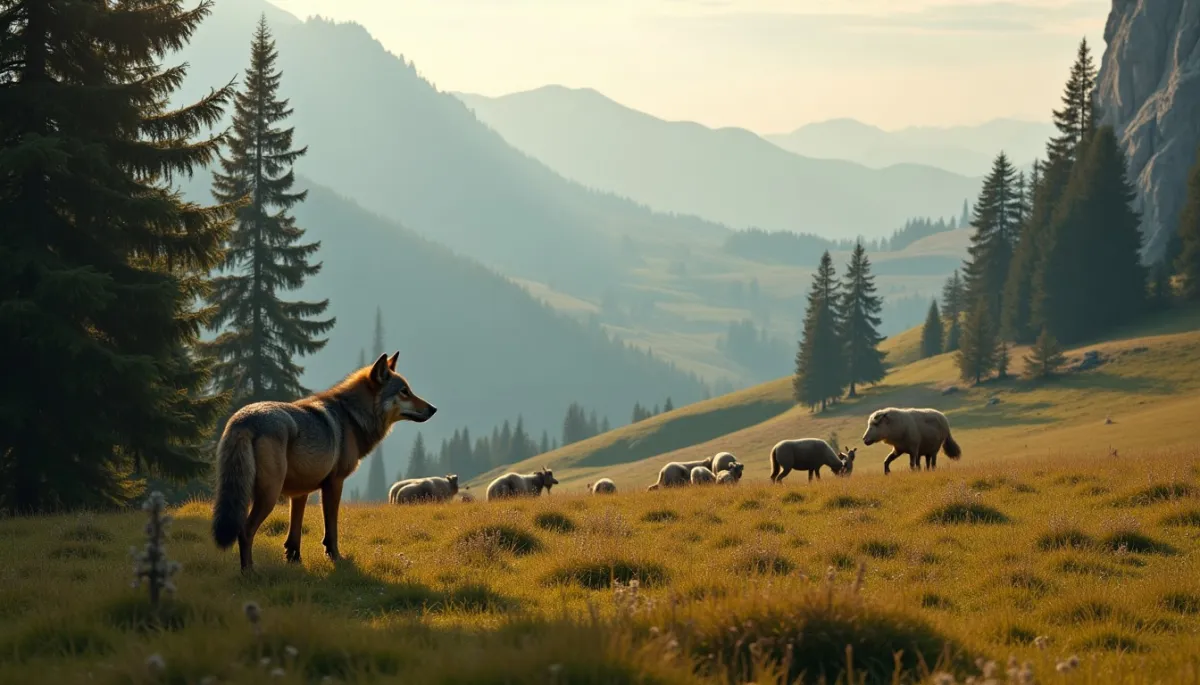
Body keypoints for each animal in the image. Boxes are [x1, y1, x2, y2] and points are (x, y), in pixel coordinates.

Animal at [211, 352, 437, 571]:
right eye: (404, 391)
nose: (433, 408)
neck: (352, 417)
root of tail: (244, 420)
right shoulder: (334, 483)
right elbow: (332, 529)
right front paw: (336, 557)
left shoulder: (300, 493)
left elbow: (294, 534)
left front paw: (294, 561)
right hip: (269, 496)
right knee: (245, 531)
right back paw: (249, 572)